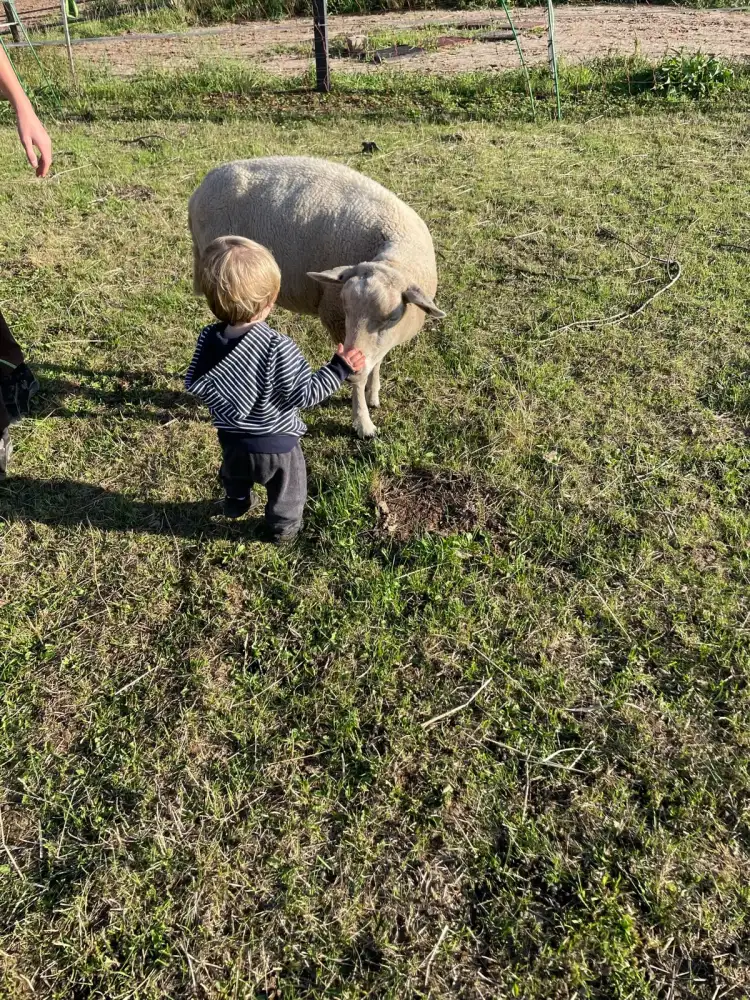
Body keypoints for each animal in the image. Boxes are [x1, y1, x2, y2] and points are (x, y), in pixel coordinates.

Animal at [188, 155, 445, 439]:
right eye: (345, 307)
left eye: (392, 317)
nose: (353, 370)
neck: (394, 258)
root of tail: (203, 186)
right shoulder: (335, 318)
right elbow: (357, 377)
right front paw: (363, 421)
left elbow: (376, 361)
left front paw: (373, 392)